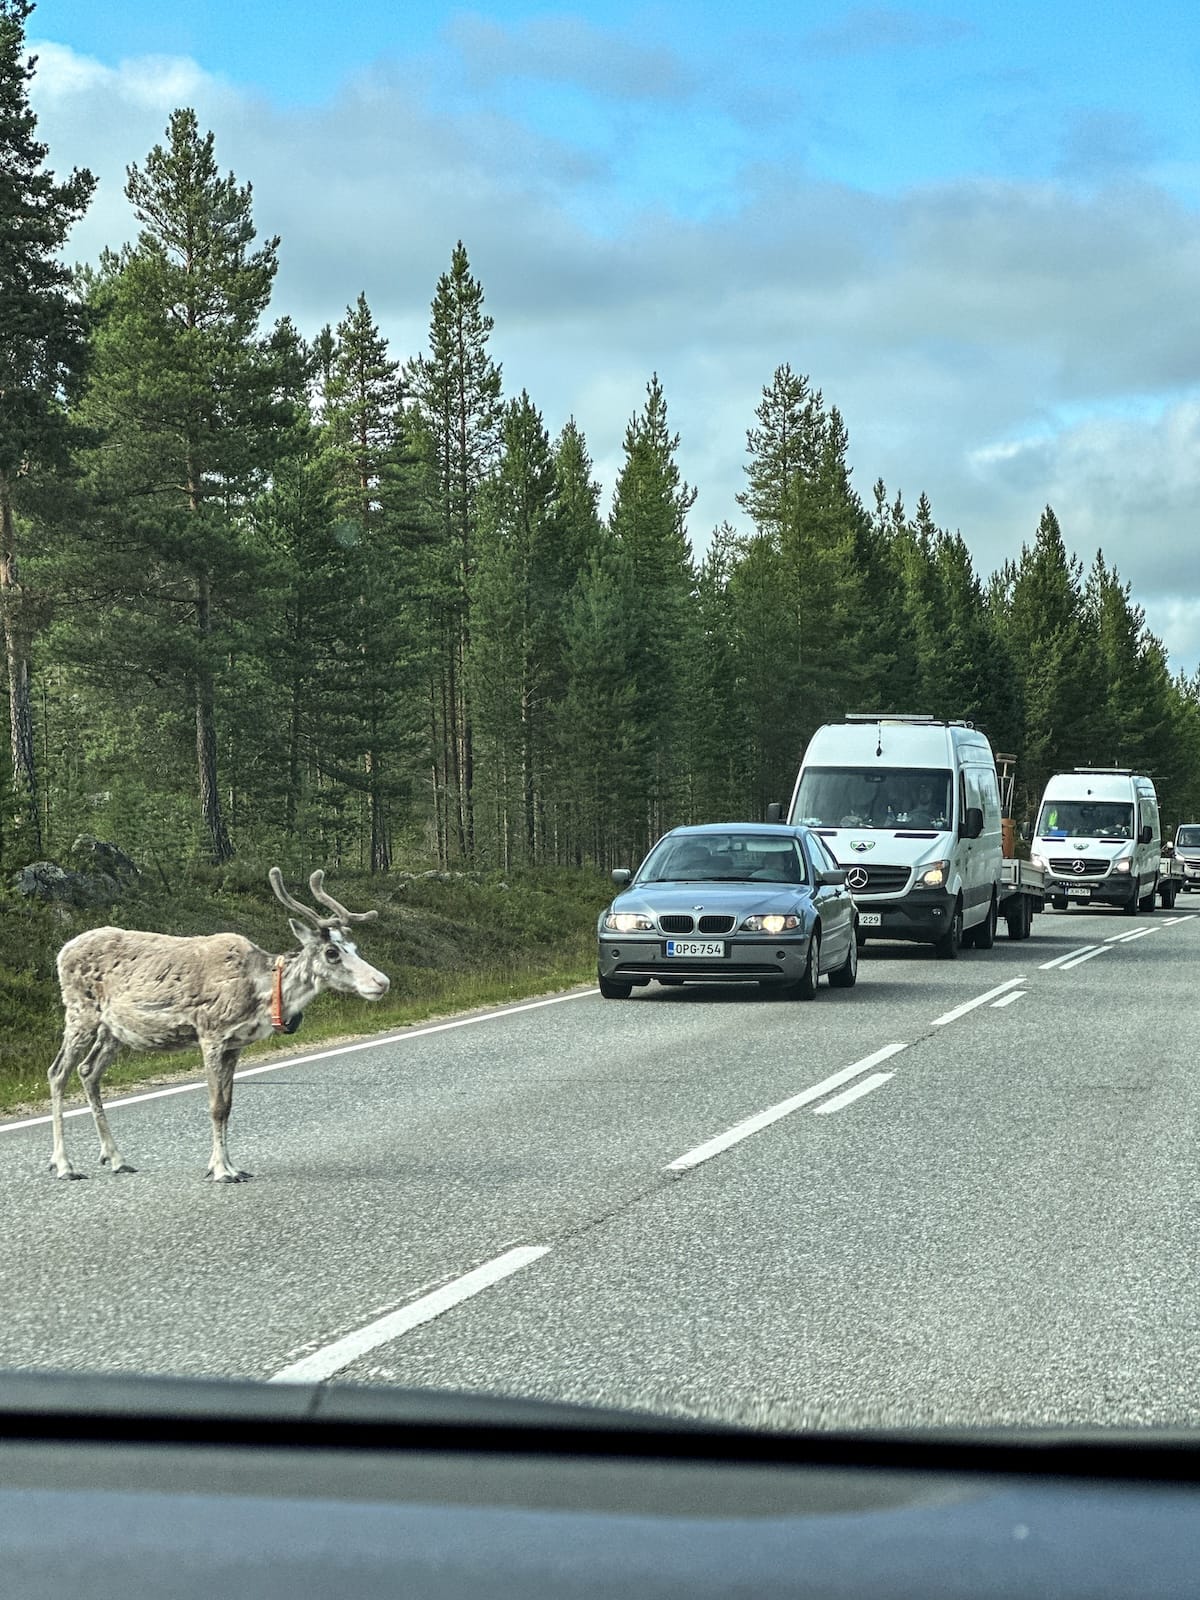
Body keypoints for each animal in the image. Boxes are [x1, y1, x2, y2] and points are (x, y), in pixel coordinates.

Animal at [47, 868, 390, 1183]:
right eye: (332, 952)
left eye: (355, 948)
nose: (381, 982)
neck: (262, 993)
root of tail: (61, 951)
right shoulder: (210, 1034)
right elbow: (214, 1105)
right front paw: (221, 1170)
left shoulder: (235, 1045)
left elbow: (227, 1106)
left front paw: (232, 1166)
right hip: (80, 1013)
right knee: (58, 1072)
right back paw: (64, 1165)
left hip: (113, 1030)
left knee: (88, 1071)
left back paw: (116, 1158)